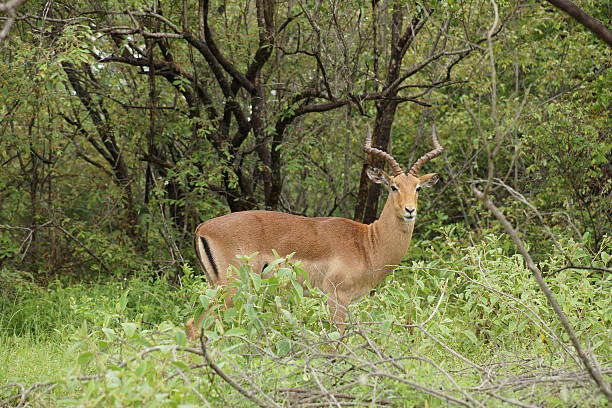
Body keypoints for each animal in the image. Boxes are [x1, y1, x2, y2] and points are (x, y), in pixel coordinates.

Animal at [184, 126, 442, 340]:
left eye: (418, 188)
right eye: (393, 186)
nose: (410, 210)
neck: (367, 243)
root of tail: (203, 228)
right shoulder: (337, 298)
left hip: (217, 286)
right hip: (231, 288)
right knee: (195, 326)